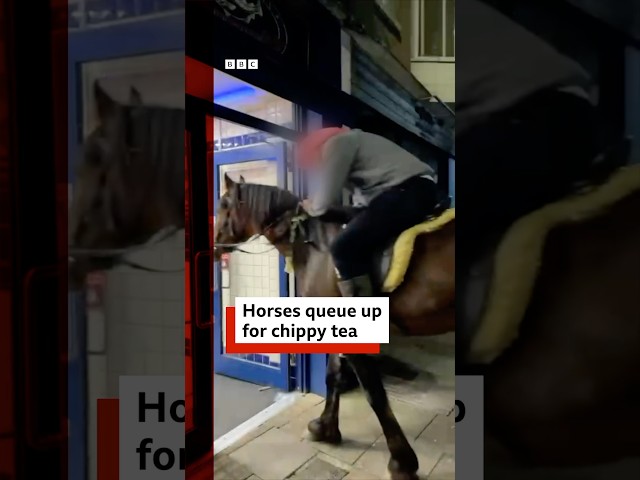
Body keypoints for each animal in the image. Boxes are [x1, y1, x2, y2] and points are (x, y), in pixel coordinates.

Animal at [212, 172, 458, 480]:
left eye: (224, 204)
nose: (213, 246)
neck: (314, 247)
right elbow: (334, 377)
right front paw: (325, 427)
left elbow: (374, 394)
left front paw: (402, 461)